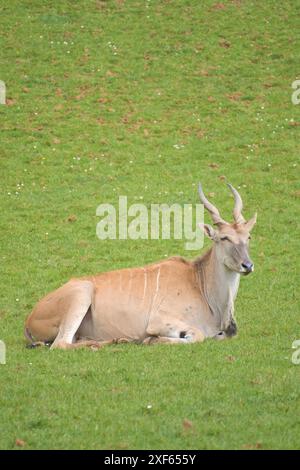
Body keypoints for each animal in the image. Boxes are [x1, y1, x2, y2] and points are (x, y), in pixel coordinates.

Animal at [24, 184, 256, 348]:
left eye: (248, 237)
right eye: (224, 238)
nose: (247, 265)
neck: (200, 285)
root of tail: (29, 319)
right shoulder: (160, 321)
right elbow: (196, 336)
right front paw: (150, 340)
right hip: (82, 293)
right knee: (60, 344)